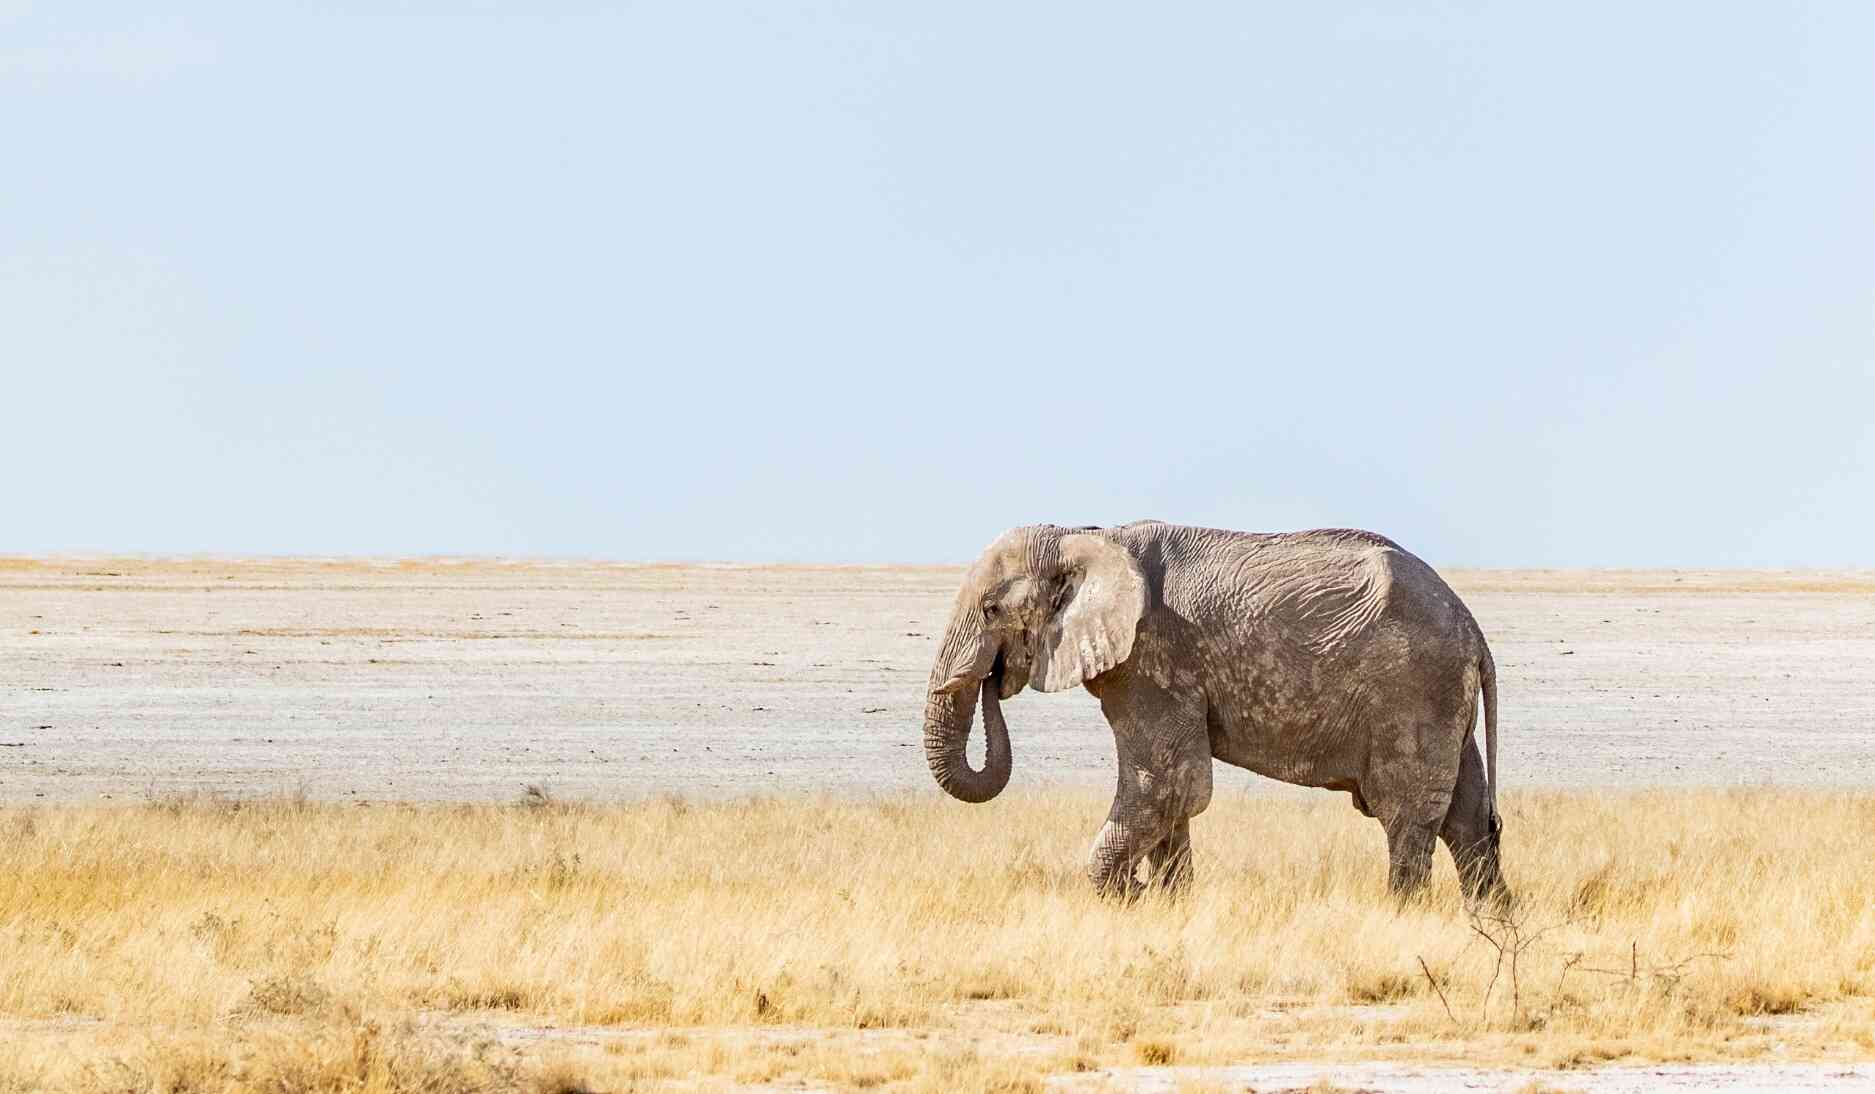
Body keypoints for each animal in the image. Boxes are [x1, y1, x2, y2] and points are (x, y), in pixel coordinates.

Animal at [922, 521, 1507, 908]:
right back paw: (1489, 918)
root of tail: (1474, 631)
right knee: (1468, 816)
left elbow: (1171, 786)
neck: (1087, 534)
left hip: (1415, 689)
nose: (995, 678)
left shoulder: (1154, 659)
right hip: (1440, 697)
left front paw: (1133, 894)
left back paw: (1399, 913)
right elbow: (1171, 796)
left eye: (991, 610)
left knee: (1405, 814)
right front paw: (1168, 901)